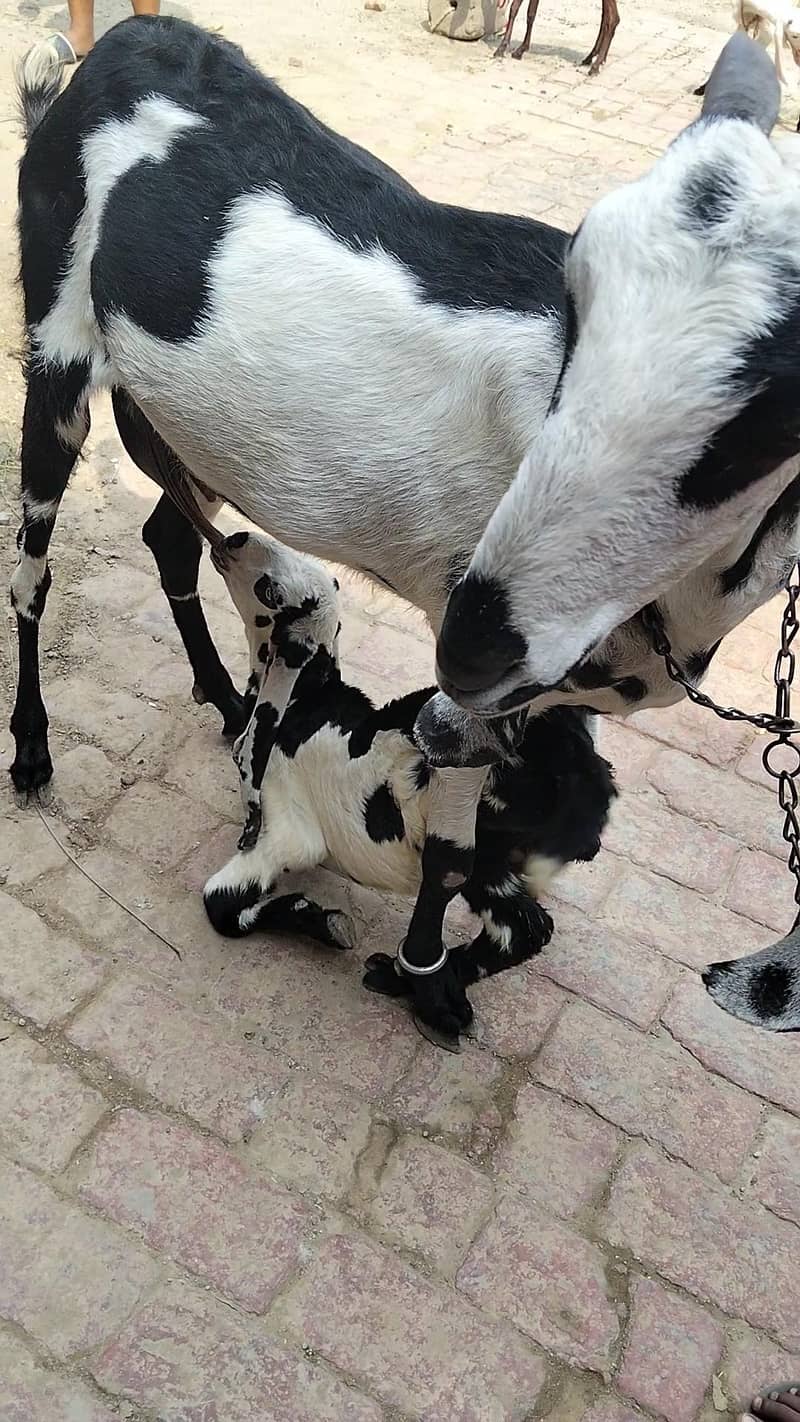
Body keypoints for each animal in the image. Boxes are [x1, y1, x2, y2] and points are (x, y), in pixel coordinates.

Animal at [202, 530, 615, 1047]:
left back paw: (421, 990)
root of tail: (588, 784)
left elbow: (220, 905)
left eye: (270, 593)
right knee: (524, 929)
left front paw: (321, 920)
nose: (235, 538)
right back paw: (419, 987)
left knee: (516, 923)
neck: (304, 705)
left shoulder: (287, 828)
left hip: (477, 841)